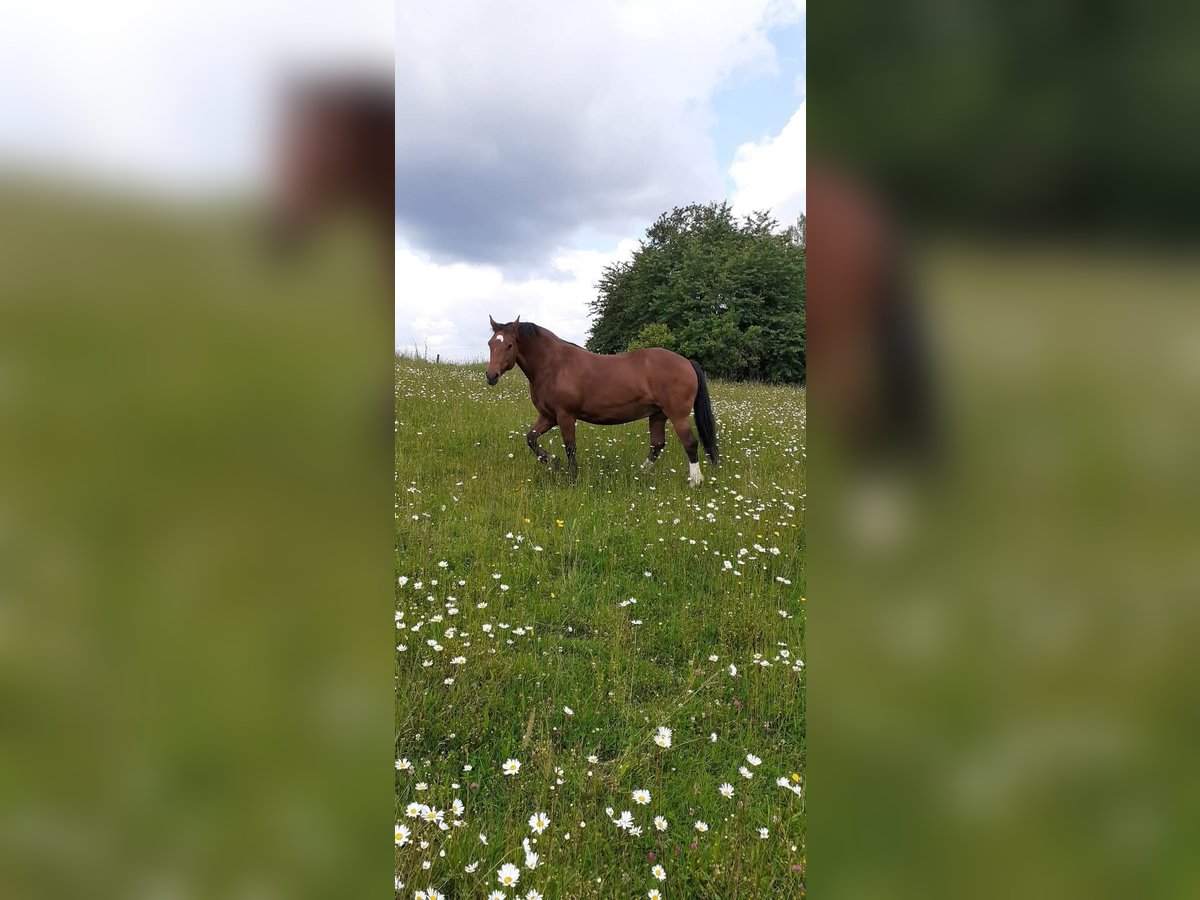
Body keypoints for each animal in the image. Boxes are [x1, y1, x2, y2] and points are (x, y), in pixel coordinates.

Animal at [485, 317, 718, 486]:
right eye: (490, 344)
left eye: (509, 345)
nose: (491, 376)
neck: (554, 365)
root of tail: (686, 362)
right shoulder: (548, 416)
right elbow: (531, 438)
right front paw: (553, 462)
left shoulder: (565, 415)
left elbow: (570, 447)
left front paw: (572, 478)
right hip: (657, 415)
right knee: (657, 445)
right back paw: (640, 473)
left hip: (677, 414)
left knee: (690, 443)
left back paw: (696, 481)